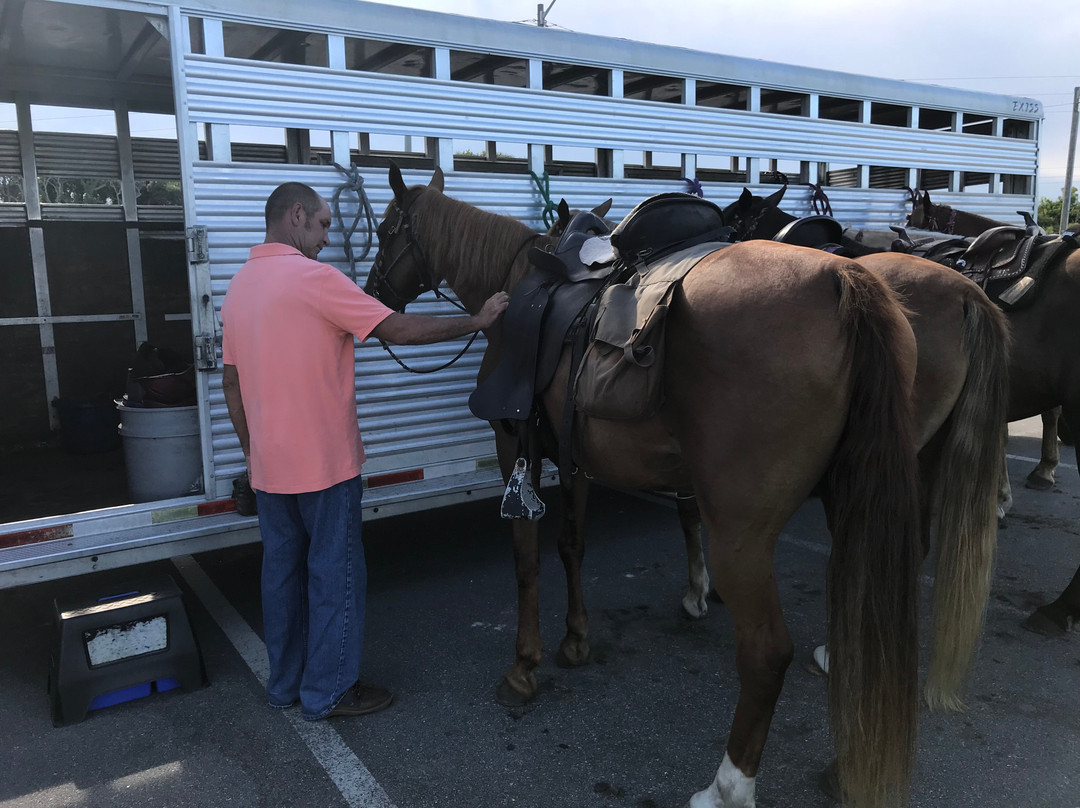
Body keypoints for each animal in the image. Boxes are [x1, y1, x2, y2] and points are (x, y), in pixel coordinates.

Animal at [365, 165, 993, 808]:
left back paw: (728, 786)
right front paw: (576, 640)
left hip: (742, 530)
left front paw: (524, 667)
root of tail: (846, 281)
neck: (520, 285)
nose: (374, 293)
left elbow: (527, 559)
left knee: (767, 652)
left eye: (387, 230)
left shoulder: (517, 445)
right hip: (864, 495)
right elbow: (571, 545)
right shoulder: (575, 455)